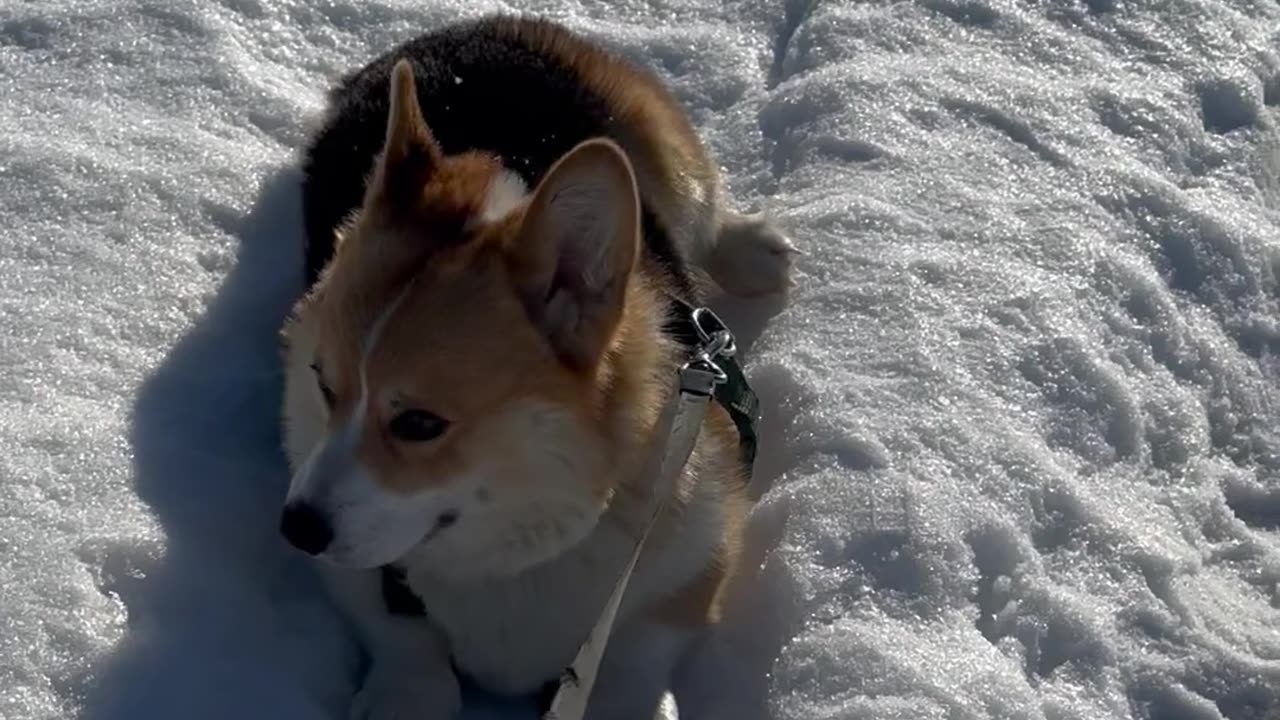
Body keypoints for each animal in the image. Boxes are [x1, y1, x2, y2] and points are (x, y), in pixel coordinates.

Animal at [281, 12, 793, 717]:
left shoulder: (686, 572)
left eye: (419, 424)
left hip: (664, 148)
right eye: (323, 386)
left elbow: (633, 666)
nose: (294, 529)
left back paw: (751, 250)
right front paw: (406, 691)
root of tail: (460, 28)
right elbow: (405, 642)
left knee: (706, 209)